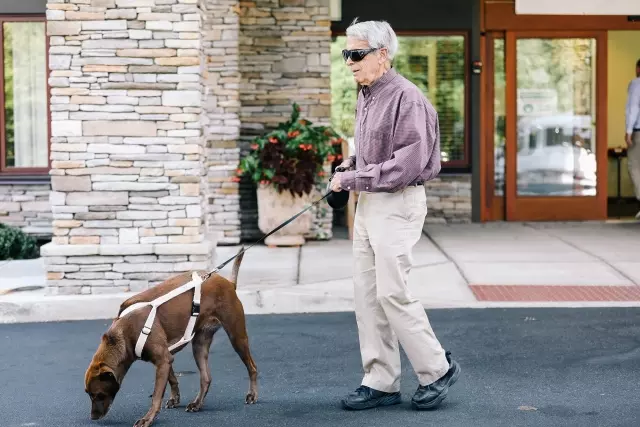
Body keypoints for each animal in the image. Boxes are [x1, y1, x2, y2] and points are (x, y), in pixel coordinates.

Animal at [84, 247, 256, 427]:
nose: (93, 417)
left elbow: (156, 395)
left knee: (252, 367)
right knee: (206, 378)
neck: (122, 334)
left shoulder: (163, 359)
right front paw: (175, 398)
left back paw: (252, 395)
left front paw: (148, 418)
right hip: (199, 345)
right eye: (88, 394)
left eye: (99, 394)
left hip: (237, 337)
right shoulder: (166, 358)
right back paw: (197, 403)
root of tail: (229, 283)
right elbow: (172, 379)